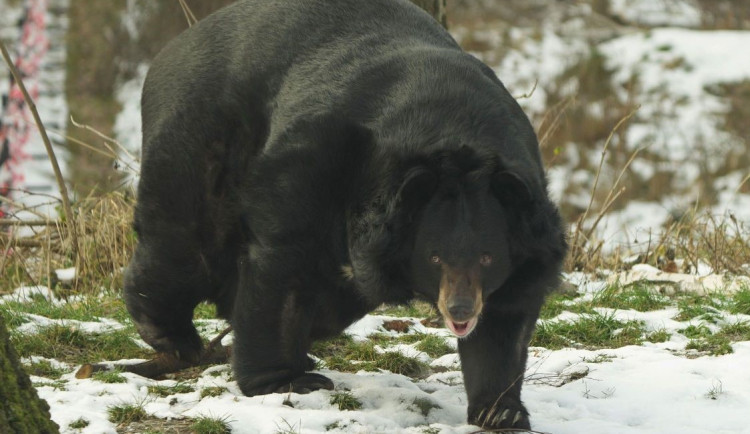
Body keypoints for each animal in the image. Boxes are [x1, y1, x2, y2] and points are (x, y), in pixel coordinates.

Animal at [125, 0, 568, 428]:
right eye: (434, 257)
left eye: (488, 257)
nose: (460, 309)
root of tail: (171, 50)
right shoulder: (317, 159)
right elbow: (283, 263)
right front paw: (284, 381)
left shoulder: (524, 236)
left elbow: (504, 321)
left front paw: (501, 411)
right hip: (201, 137)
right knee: (184, 240)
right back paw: (172, 335)